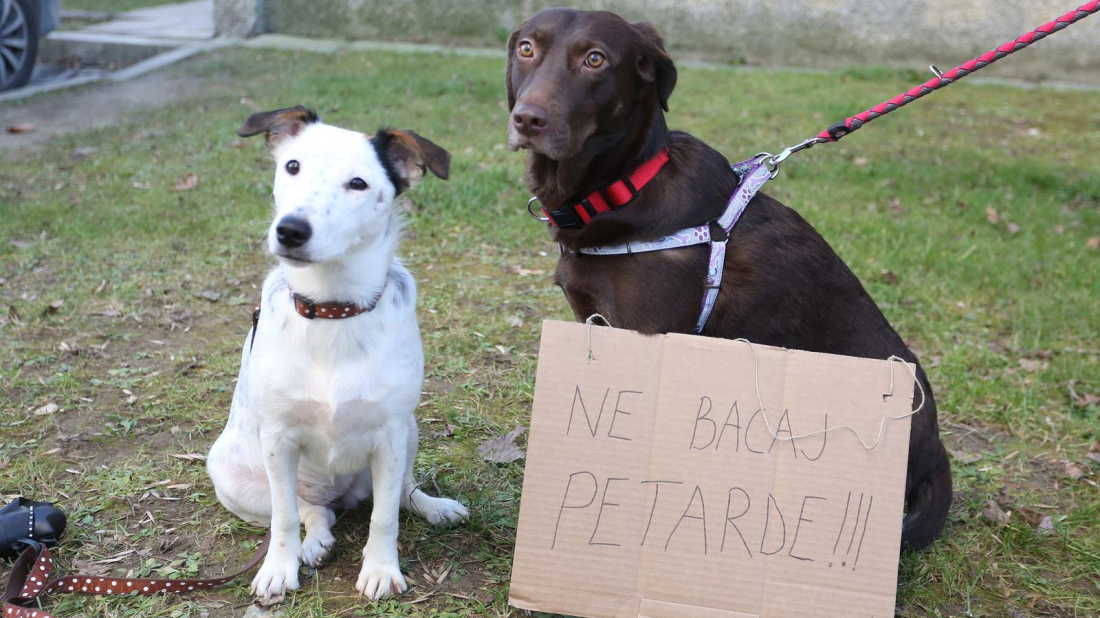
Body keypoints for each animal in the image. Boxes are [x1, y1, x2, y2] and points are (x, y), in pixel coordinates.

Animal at [206, 107, 468, 602]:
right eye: (292, 166)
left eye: (358, 183)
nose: (290, 230)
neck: (332, 309)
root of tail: (340, 493)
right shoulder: (278, 440)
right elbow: (285, 517)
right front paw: (279, 568)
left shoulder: (389, 436)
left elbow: (384, 516)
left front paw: (381, 569)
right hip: (232, 478)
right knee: (311, 510)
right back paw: (315, 541)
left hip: (409, 431)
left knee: (401, 493)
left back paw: (433, 506)